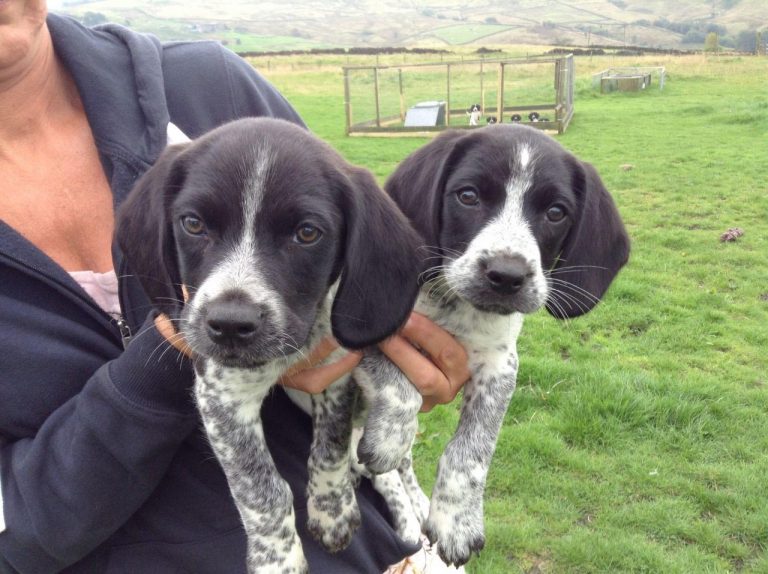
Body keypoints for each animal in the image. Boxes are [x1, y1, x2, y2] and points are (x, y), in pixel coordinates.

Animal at [117, 118, 424, 574]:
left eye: (307, 233)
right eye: (193, 224)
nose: (230, 325)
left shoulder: (335, 374)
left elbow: (330, 448)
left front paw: (332, 509)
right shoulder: (222, 395)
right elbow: (261, 488)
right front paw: (278, 558)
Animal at [354, 122, 632, 568]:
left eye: (556, 212)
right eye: (468, 196)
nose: (507, 275)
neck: (453, 306)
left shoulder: (499, 366)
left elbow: (471, 451)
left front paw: (456, 521)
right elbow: (399, 391)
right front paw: (389, 437)